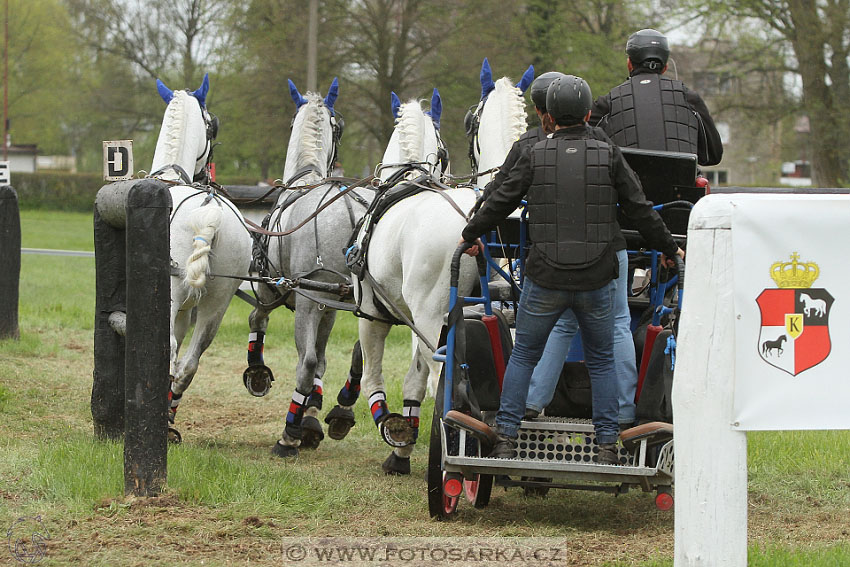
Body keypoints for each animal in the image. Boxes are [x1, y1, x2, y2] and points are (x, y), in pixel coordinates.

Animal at [152, 74, 252, 444]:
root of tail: (209, 211)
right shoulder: (186, 310)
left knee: (168, 351)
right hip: (218, 302)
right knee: (188, 364)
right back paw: (168, 418)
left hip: (171, 294)